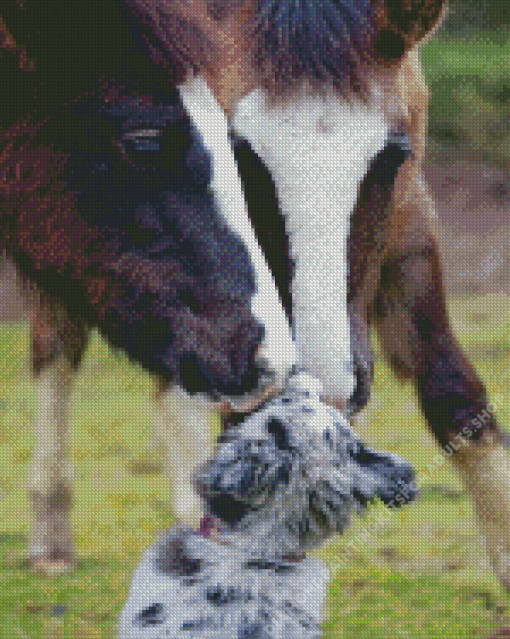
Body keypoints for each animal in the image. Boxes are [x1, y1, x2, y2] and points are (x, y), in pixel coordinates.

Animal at [0, 0, 510, 596]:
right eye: (242, 158)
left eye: (391, 158)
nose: (326, 385)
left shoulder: (410, 219)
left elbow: (456, 393)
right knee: (58, 347)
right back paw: (54, 529)